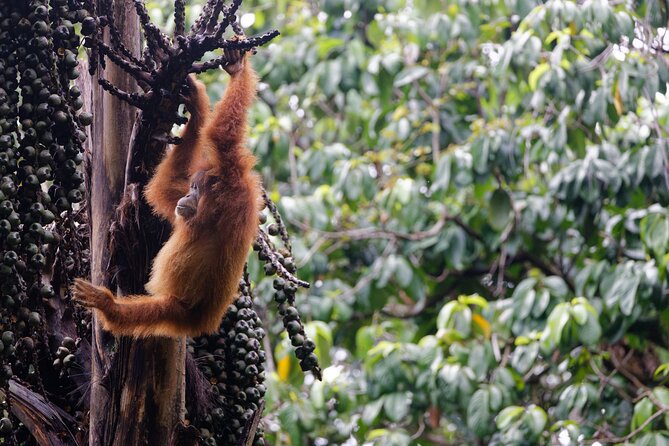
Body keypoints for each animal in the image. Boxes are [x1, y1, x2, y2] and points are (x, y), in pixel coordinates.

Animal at [72, 47, 262, 338]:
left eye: (196, 189)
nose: (188, 196)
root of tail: (203, 323)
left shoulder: (233, 184)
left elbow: (222, 137)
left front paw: (237, 71)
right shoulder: (187, 209)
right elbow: (163, 189)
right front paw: (196, 104)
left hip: (182, 310)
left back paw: (109, 306)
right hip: (181, 312)